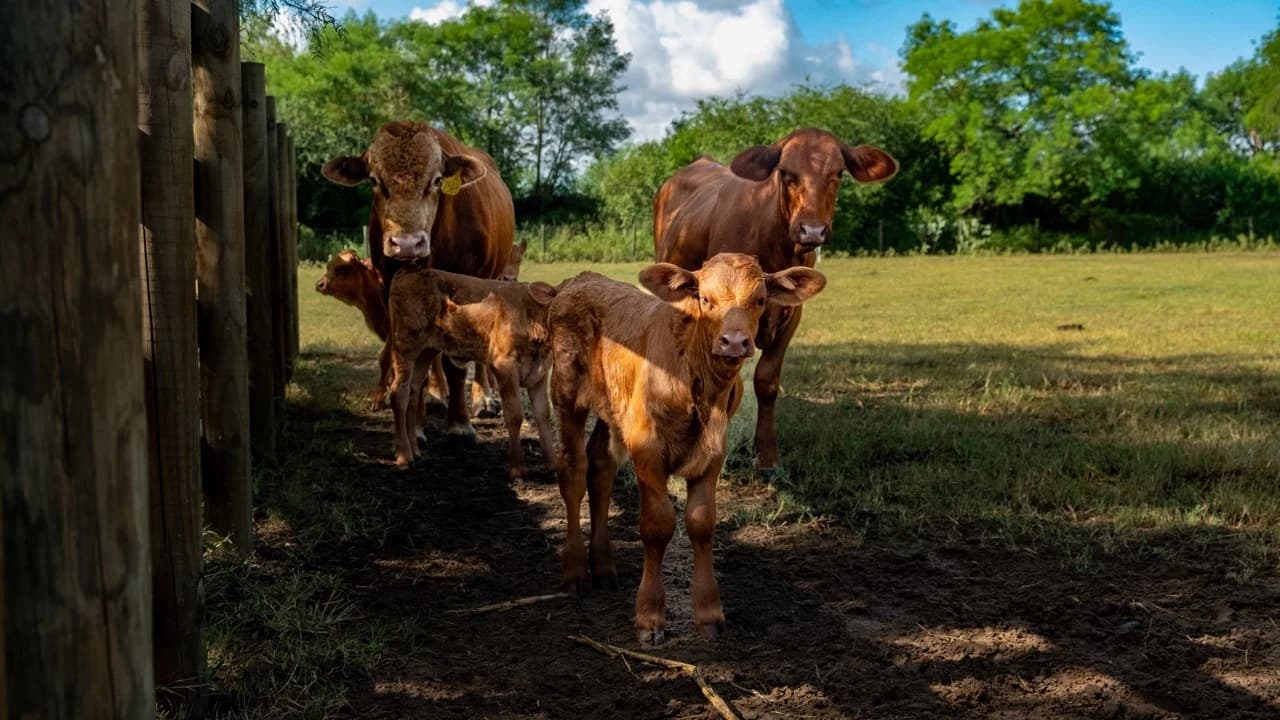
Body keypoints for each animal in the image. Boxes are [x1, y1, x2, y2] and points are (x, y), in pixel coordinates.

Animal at [323, 120, 515, 441]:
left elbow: (455, 362)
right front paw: (416, 426)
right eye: (374, 180)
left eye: (437, 180)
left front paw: (459, 423)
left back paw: (484, 399)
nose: (407, 244)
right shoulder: (391, 291)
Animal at [386, 266, 559, 480]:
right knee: (399, 393)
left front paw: (552, 465)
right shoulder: (505, 366)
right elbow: (514, 415)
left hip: (425, 352)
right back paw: (403, 455)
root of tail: (408, 271)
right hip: (405, 346)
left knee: (413, 390)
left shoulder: (539, 373)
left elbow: (543, 414)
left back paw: (414, 451)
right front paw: (517, 469)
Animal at [548, 253, 825, 644]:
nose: (734, 342)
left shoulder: (712, 455)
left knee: (601, 466)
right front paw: (650, 616)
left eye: (759, 300)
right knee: (573, 471)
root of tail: (579, 280)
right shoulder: (647, 450)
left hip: (613, 407)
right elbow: (657, 524)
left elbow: (701, 523)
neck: (697, 384)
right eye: (705, 299)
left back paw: (603, 566)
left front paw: (708, 612)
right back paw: (574, 570)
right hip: (566, 395)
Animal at [654, 128, 897, 470]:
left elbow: (767, 380)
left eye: (838, 173)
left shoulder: (791, 312)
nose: (812, 230)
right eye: (785, 172)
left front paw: (767, 454)